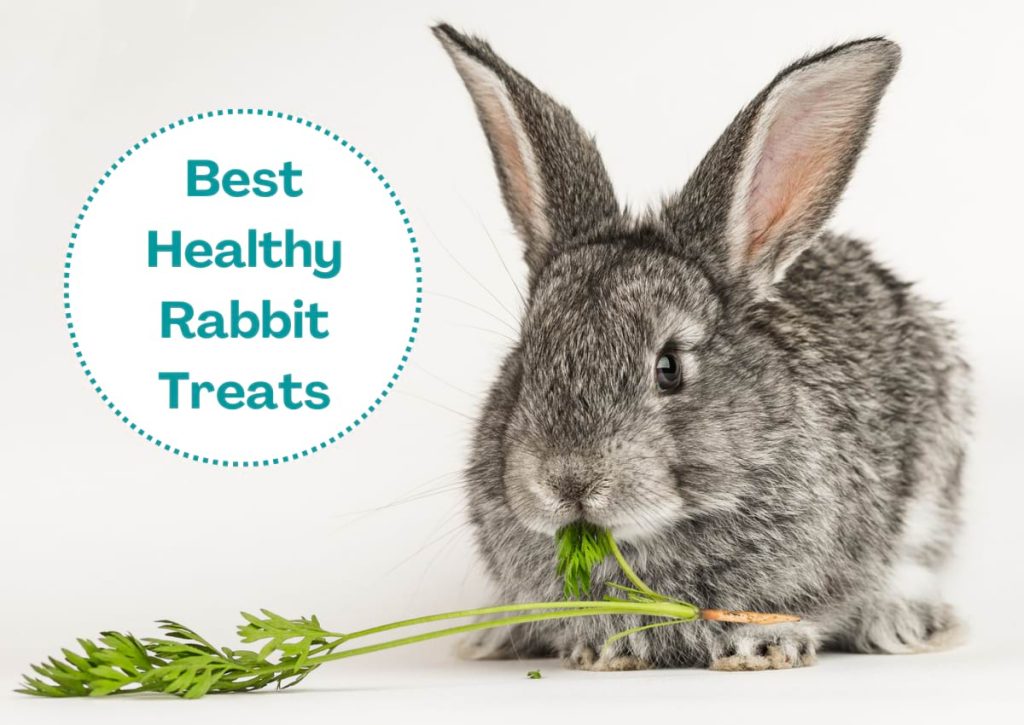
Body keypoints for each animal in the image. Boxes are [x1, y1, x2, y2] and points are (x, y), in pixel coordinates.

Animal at [433, 23, 970, 671]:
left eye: (669, 368)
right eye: (525, 361)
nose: (569, 483)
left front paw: (764, 648)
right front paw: (602, 651)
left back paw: (903, 623)